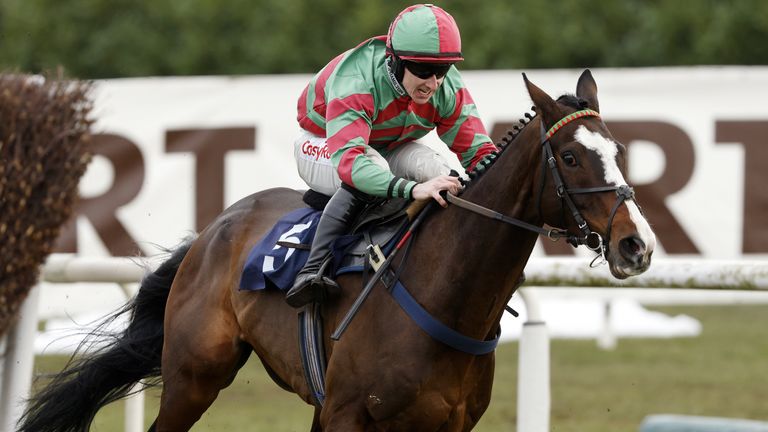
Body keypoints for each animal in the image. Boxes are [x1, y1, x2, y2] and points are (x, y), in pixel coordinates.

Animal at [18, 71, 656, 432]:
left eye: (620, 151)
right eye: (570, 157)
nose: (637, 244)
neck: (445, 295)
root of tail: (213, 229)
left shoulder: (444, 424)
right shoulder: (350, 414)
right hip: (194, 376)